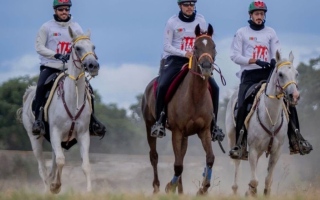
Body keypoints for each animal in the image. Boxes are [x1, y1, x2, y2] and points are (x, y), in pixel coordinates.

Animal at [16, 26, 99, 194]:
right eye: (77, 48)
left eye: (93, 47)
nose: (93, 66)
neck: (72, 100)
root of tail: (29, 93)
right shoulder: (55, 131)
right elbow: (61, 161)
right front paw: (55, 186)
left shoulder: (83, 134)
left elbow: (85, 165)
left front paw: (88, 191)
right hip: (35, 137)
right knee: (42, 166)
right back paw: (47, 188)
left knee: (53, 161)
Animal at [142, 24, 218, 195]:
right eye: (195, 47)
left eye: (213, 46)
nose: (206, 67)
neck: (195, 97)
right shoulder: (177, 131)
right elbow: (177, 165)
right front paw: (169, 187)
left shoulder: (204, 130)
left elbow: (210, 158)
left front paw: (203, 189)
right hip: (149, 125)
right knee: (154, 156)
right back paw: (157, 187)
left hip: (185, 135)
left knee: (181, 157)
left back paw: (181, 191)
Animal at [226, 50, 298, 196]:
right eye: (280, 74)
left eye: (296, 73)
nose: (294, 96)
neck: (271, 118)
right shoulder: (253, 150)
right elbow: (254, 180)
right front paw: (250, 192)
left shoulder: (276, 152)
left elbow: (268, 180)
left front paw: (263, 192)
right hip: (232, 137)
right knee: (236, 162)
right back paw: (235, 189)